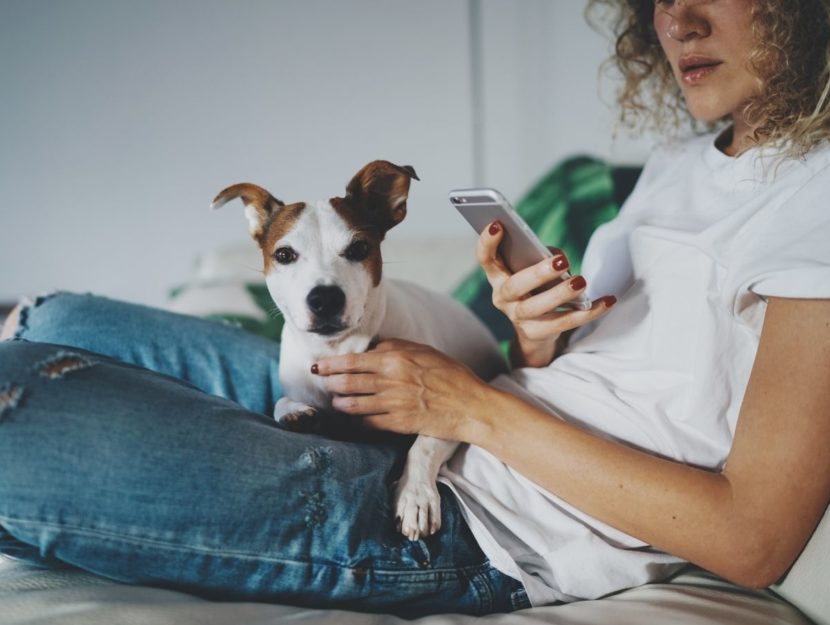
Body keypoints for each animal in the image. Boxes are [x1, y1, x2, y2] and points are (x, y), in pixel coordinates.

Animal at [211, 162, 504, 540]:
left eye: (359, 249)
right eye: (284, 255)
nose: (325, 298)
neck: (336, 350)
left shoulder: (450, 410)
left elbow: (424, 446)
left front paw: (415, 496)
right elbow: (281, 402)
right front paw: (294, 411)